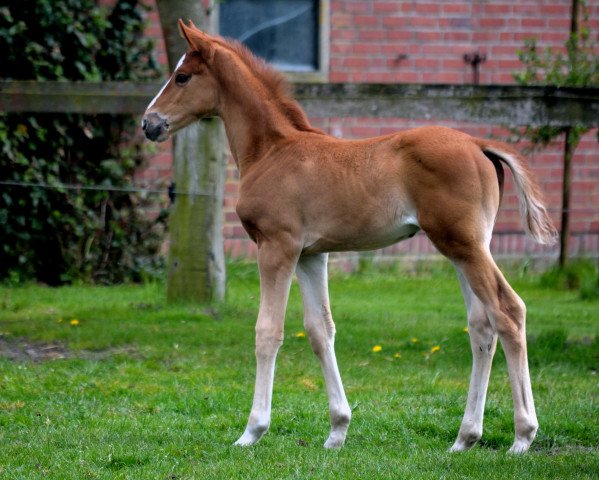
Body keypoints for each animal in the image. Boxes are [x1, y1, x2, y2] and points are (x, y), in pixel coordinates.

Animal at [142, 20, 556, 452]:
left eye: (182, 76)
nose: (148, 123)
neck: (271, 151)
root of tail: (478, 143)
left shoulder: (277, 246)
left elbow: (268, 331)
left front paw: (252, 431)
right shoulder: (311, 254)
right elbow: (320, 330)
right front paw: (337, 430)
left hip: (465, 246)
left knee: (508, 311)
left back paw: (522, 435)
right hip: (463, 248)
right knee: (481, 326)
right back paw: (465, 437)